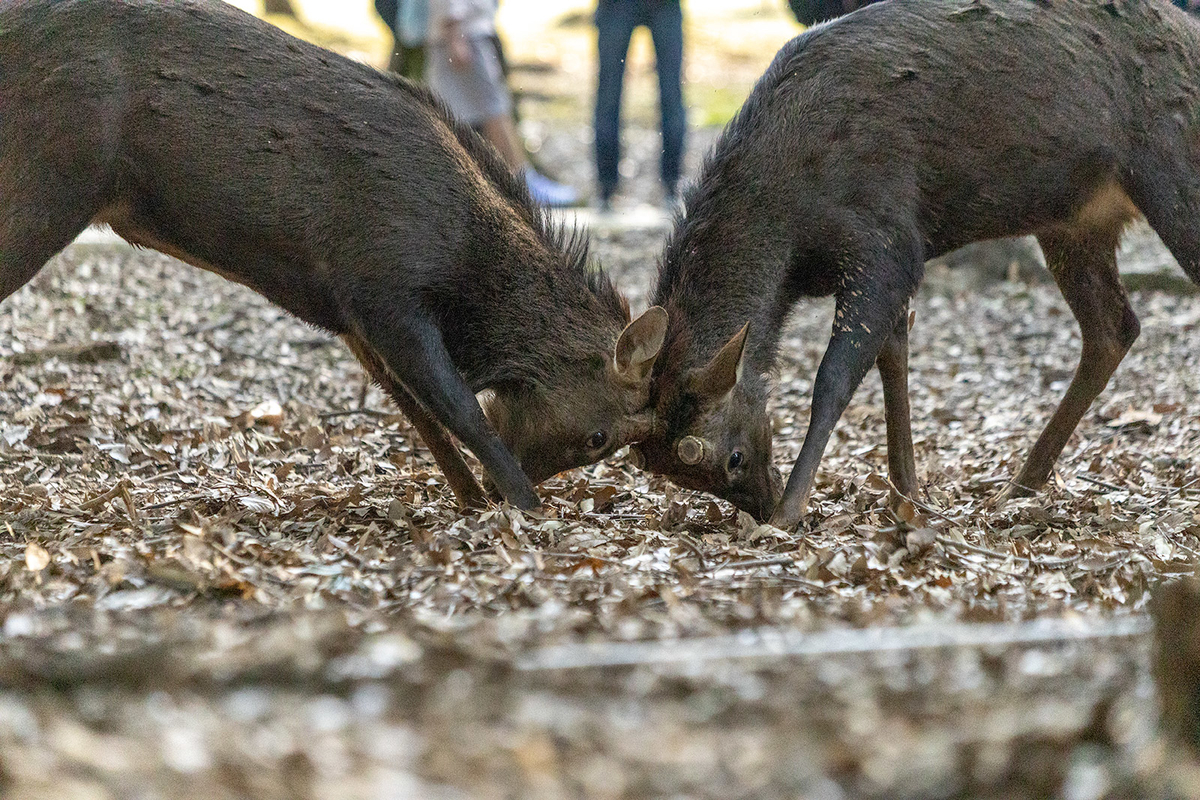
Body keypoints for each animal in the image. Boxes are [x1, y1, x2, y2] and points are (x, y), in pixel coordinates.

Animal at [0, 0, 667, 513]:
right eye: (599, 436)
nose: (512, 492)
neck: (467, 272)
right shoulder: (385, 286)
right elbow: (459, 409)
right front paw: (525, 508)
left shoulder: (346, 312)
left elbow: (420, 414)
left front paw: (473, 501)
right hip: (49, 182)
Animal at [633, 0, 1195, 532]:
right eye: (683, 477)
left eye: (733, 457)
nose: (761, 502)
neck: (789, 244)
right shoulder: (890, 260)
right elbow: (893, 356)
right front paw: (906, 493)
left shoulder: (885, 240)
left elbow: (834, 378)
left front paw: (792, 511)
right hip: (1073, 222)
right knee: (1113, 327)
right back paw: (1016, 488)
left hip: (1170, 176)